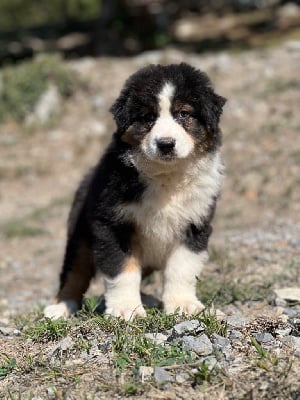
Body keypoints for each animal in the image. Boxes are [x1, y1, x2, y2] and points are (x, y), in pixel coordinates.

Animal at [44, 63, 226, 322]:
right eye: (148, 117)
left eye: (183, 114)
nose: (166, 144)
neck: (165, 177)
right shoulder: (112, 224)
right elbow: (122, 269)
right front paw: (126, 309)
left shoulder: (195, 223)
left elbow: (182, 268)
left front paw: (184, 305)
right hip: (80, 232)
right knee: (74, 272)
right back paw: (61, 306)